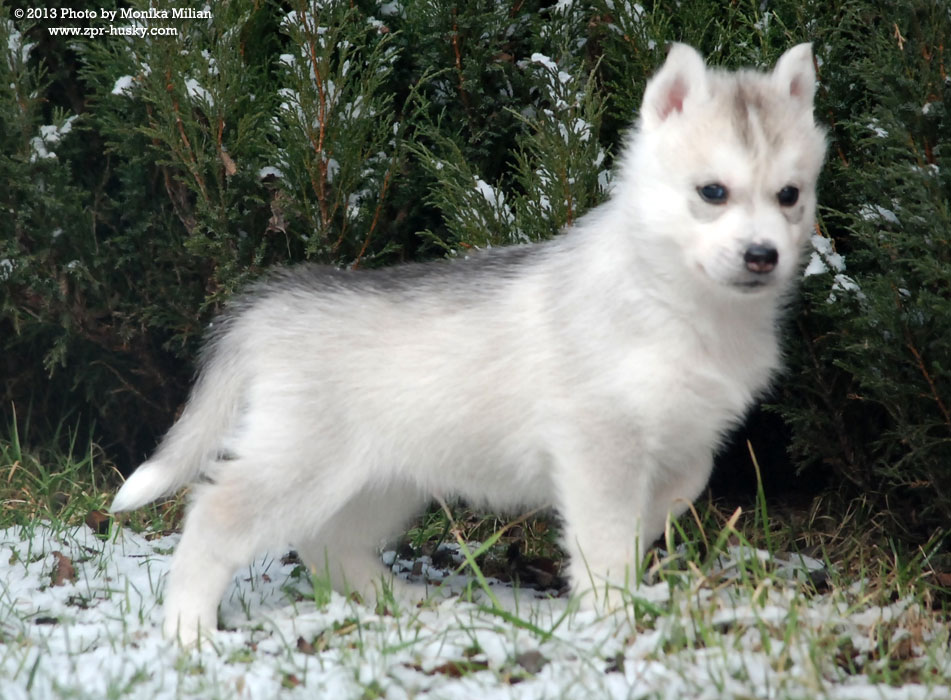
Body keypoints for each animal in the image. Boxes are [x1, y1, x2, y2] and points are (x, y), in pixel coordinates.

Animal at [111, 43, 826, 644]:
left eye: (790, 195)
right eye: (713, 192)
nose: (762, 256)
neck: (680, 300)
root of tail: (274, 303)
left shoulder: (688, 443)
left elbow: (660, 509)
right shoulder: (599, 444)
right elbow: (604, 535)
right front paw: (611, 615)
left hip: (386, 478)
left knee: (327, 543)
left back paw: (399, 600)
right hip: (302, 463)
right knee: (215, 516)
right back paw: (188, 630)